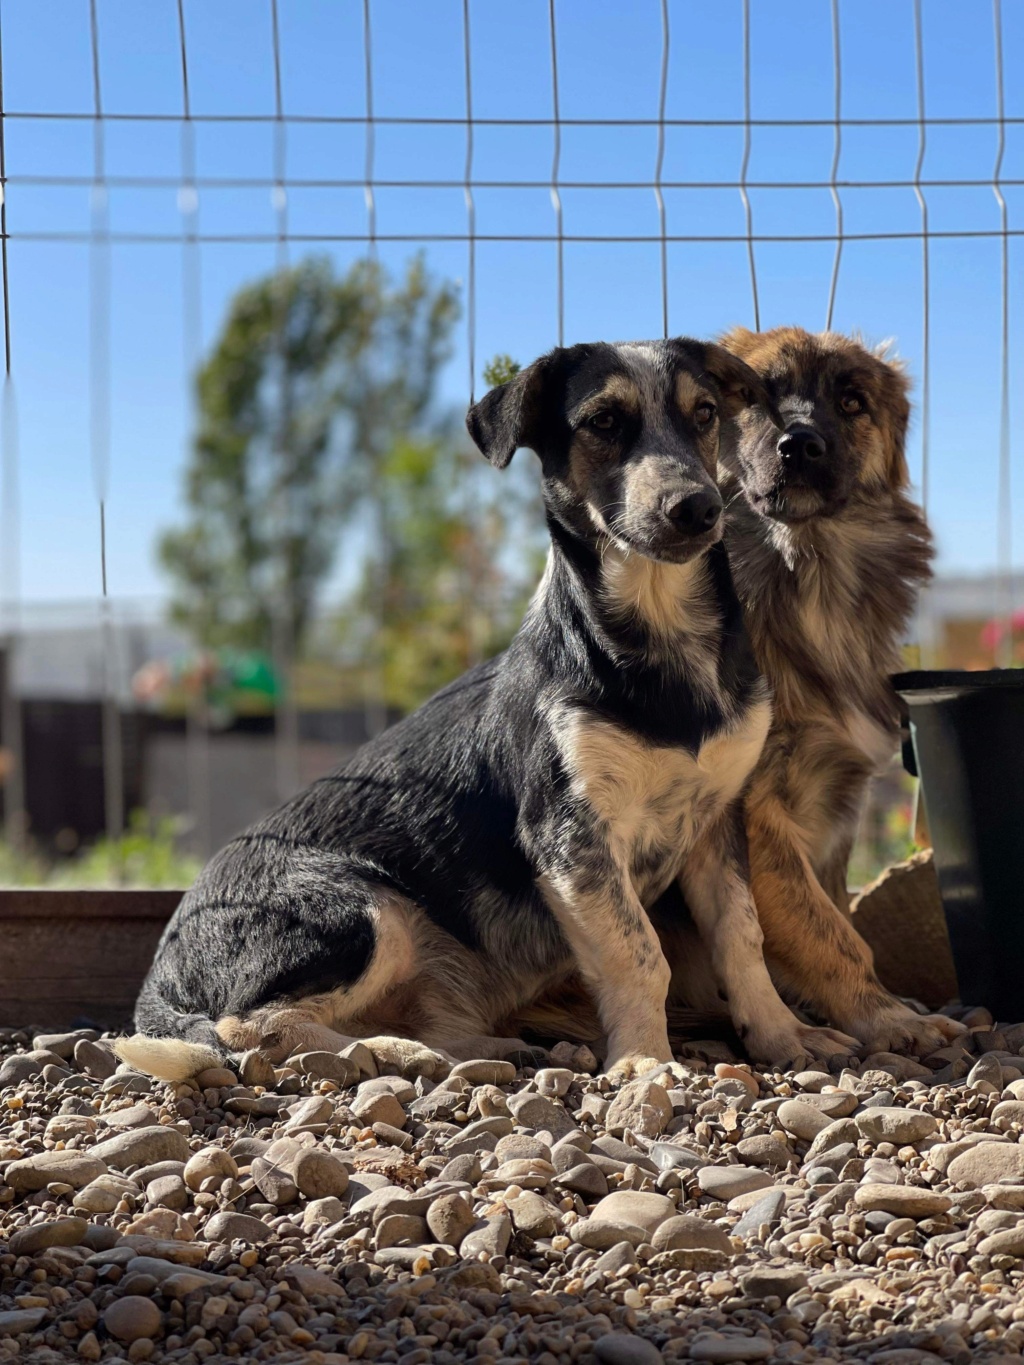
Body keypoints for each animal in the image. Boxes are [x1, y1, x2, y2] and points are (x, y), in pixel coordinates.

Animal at [114, 335, 857, 1081]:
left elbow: (743, 938)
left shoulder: (715, 822)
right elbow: (638, 953)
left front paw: (783, 1037)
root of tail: (155, 976)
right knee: (249, 1026)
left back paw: (483, 1048)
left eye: (704, 414)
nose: (697, 508)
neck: (662, 638)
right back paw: (394, 1054)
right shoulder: (570, 834)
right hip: (358, 908)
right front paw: (646, 1062)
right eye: (603, 421)